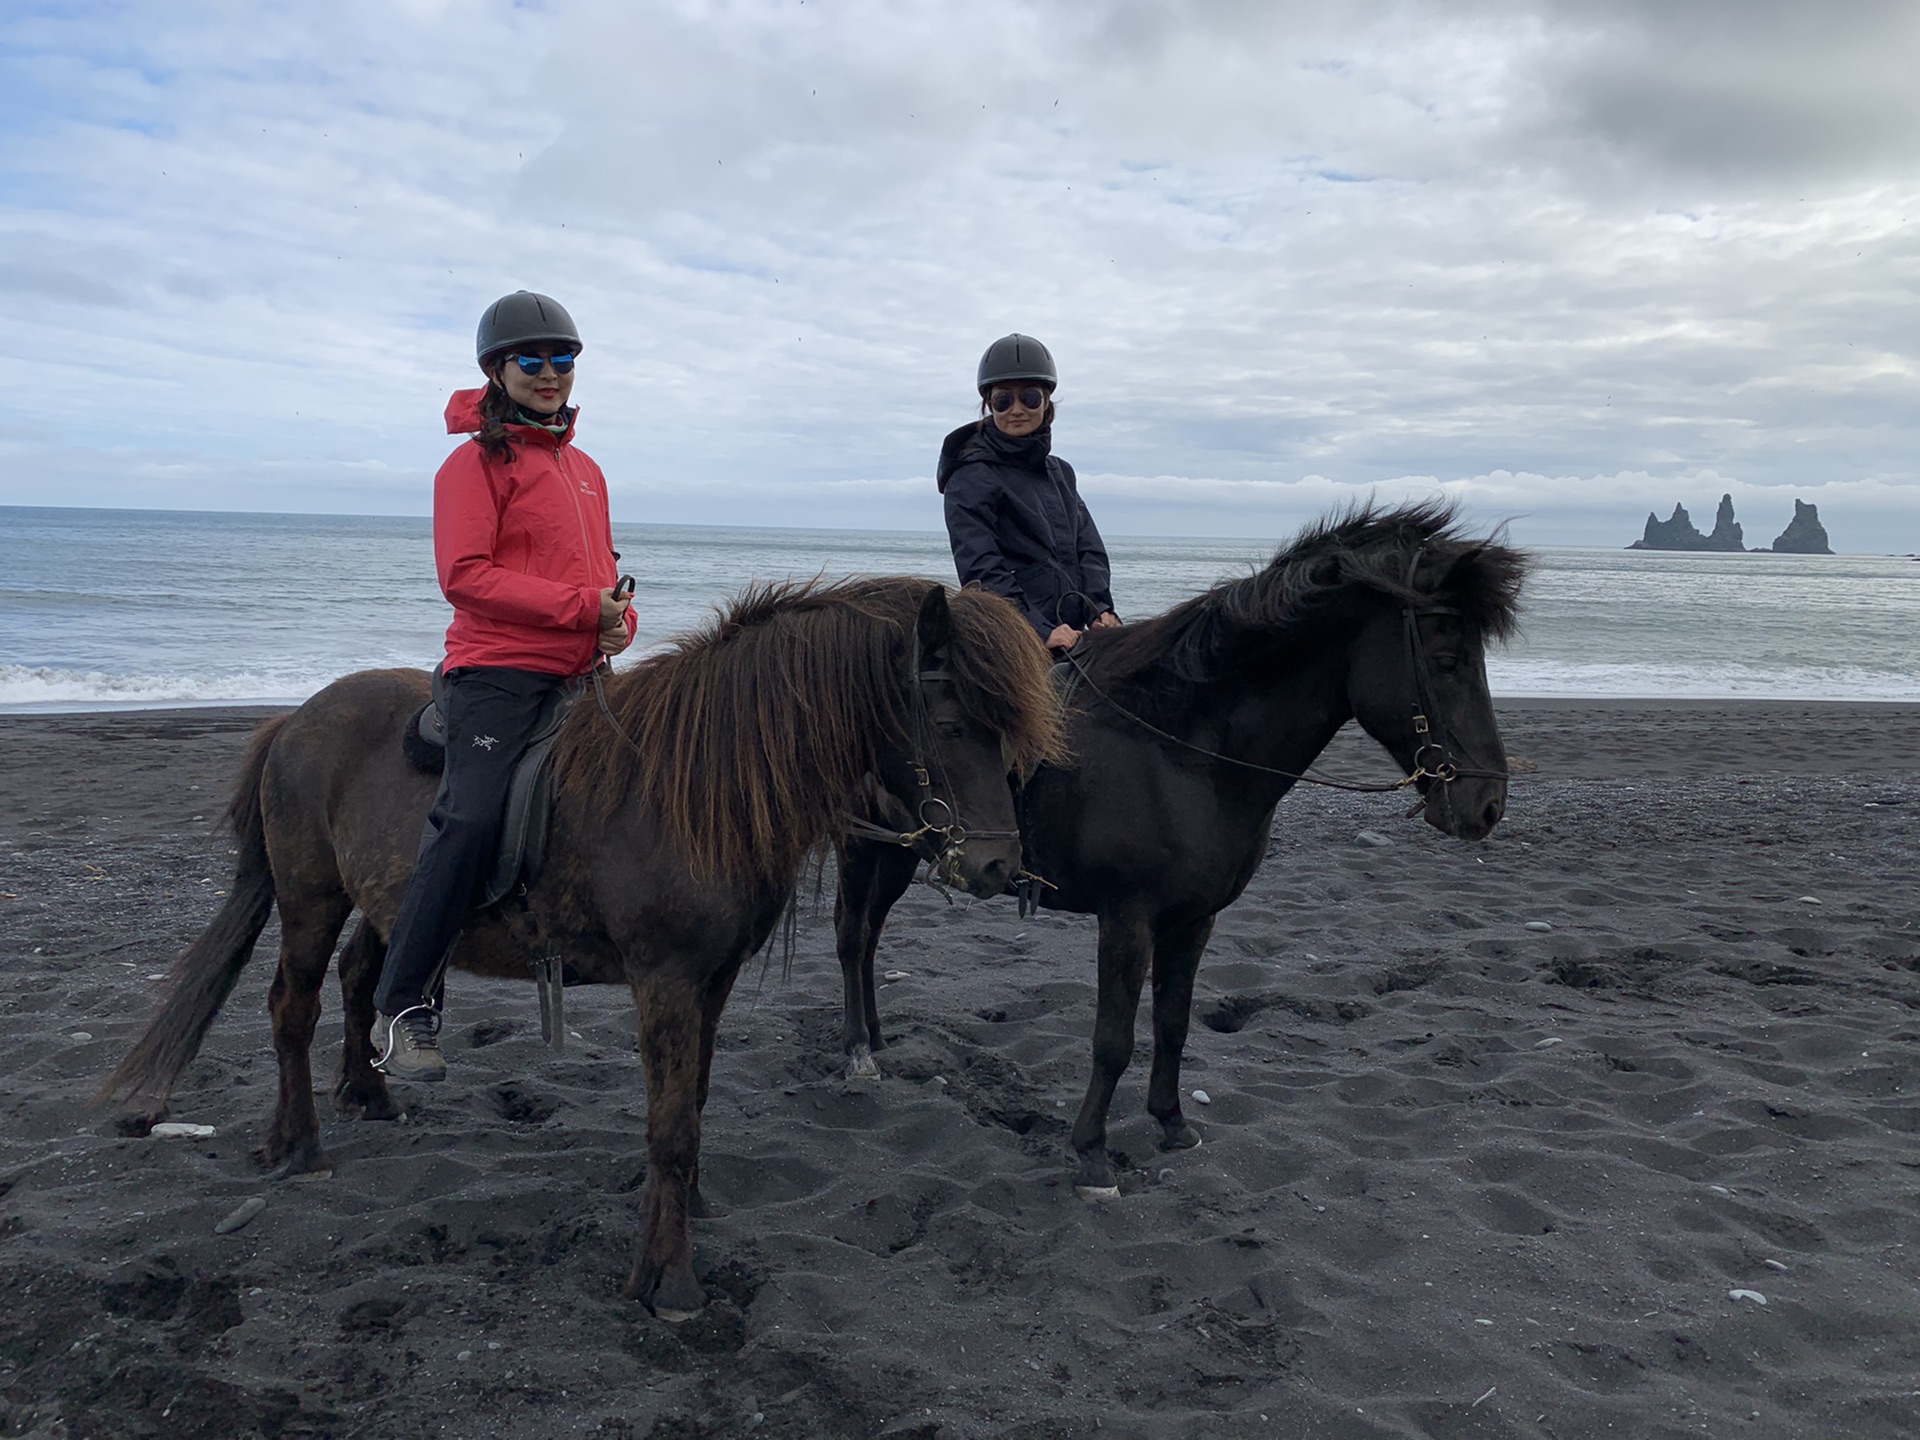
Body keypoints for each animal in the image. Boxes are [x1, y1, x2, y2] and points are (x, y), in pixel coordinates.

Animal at [105, 576, 1067, 1320]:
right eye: (952, 722)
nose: (997, 865)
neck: (697, 780)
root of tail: (294, 721)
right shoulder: (667, 981)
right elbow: (670, 1125)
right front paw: (668, 1277)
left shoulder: (712, 980)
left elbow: (693, 1106)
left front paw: (686, 1208)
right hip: (311, 899)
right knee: (291, 1008)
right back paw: (299, 1144)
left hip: (381, 905)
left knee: (358, 983)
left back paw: (369, 1094)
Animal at [840, 503, 1528, 1198]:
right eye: (1447, 660)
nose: (1487, 805)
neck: (1181, 750)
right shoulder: (1127, 920)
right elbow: (1113, 1039)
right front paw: (1092, 1154)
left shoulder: (1195, 920)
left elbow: (1173, 1024)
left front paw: (1171, 1123)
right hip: (864, 848)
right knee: (852, 937)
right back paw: (856, 1051)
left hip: (899, 853)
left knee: (869, 939)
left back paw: (876, 1038)